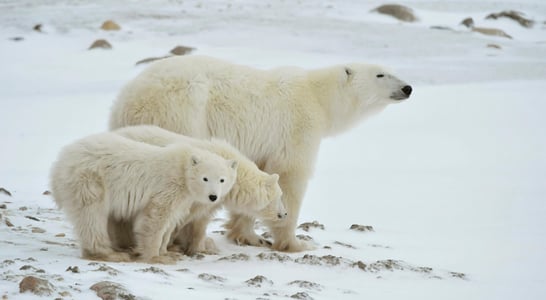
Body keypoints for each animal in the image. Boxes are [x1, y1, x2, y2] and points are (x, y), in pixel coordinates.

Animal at [50, 131, 237, 262]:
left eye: (222, 179)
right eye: (205, 178)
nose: (213, 197)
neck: (182, 168)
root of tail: (59, 162)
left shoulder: (183, 198)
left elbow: (170, 222)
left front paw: (167, 252)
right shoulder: (168, 186)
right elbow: (155, 218)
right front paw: (156, 257)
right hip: (90, 180)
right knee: (92, 216)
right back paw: (109, 254)